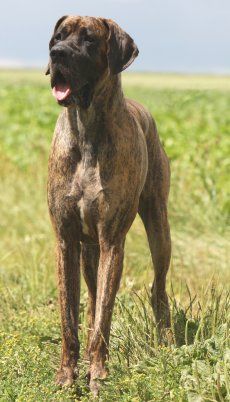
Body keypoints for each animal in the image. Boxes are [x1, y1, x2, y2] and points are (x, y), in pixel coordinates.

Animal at [46, 14, 171, 396]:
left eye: (88, 40)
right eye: (58, 37)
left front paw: (98, 375)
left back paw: (166, 340)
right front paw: (66, 375)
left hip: (158, 228)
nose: (56, 53)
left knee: (158, 288)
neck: (86, 129)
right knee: (89, 299)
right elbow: (69, 318)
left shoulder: (112, 242)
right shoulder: (66, 241)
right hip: (88, 251)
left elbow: (104, 315)